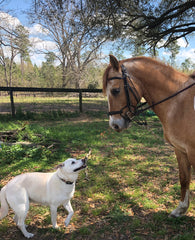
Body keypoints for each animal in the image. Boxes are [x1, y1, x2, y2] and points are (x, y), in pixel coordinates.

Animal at [103, 54, 194, 218]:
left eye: (115, 90)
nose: (114, 125)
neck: (179, 103)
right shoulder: (181, 149)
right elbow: (184, 178)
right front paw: (180, 209)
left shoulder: (192, 151)